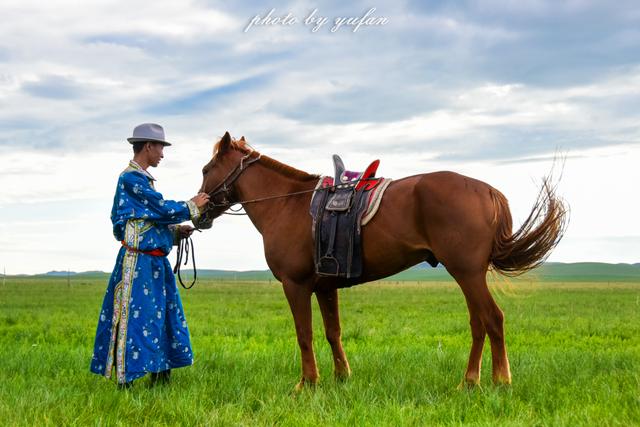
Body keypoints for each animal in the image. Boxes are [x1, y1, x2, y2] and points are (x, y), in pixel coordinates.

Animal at [194, 134, 564, 392]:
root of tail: (488, 191)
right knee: (479, 324)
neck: (286, 203)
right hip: (469, 276)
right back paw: (469, 382)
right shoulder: (325, 287)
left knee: (493, 319)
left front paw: (307, 383)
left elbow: (304, 334)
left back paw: (500, 381)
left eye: (206, 169)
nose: (199, 212)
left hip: (468, 273)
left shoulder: (295, 285)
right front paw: (341, 377)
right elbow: (332, 332)